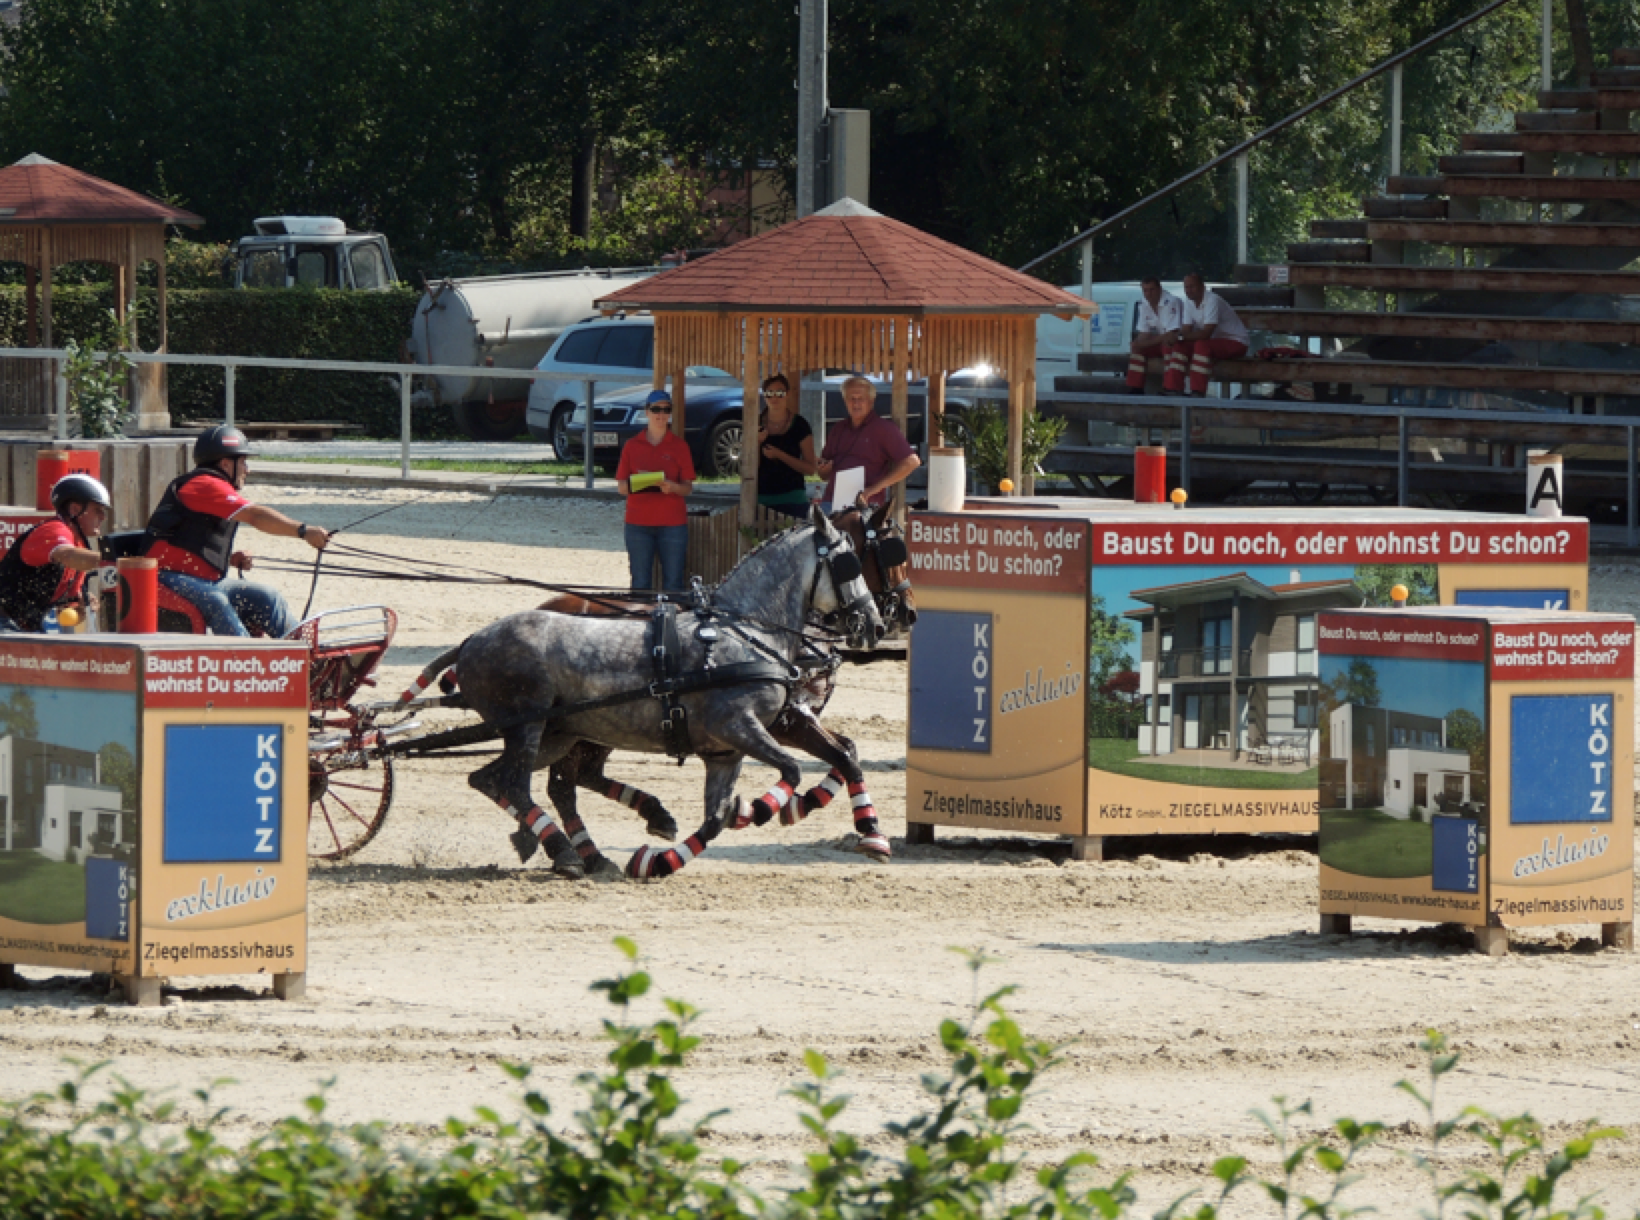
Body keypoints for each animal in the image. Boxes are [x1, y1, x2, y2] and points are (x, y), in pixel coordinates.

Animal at [452, 506, 884, 880]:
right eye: (851, 563)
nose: (876, 624)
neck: (748, 632)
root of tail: (470, 642)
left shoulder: (727, 751)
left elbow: (716, 818)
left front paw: (658, 862)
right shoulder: (741, 726)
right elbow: (792, 769)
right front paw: (761, 808)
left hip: (557, 734)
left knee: (494, 779)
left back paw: (564, 844)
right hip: (528, 726)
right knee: (516, 784)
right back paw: (564, 849)